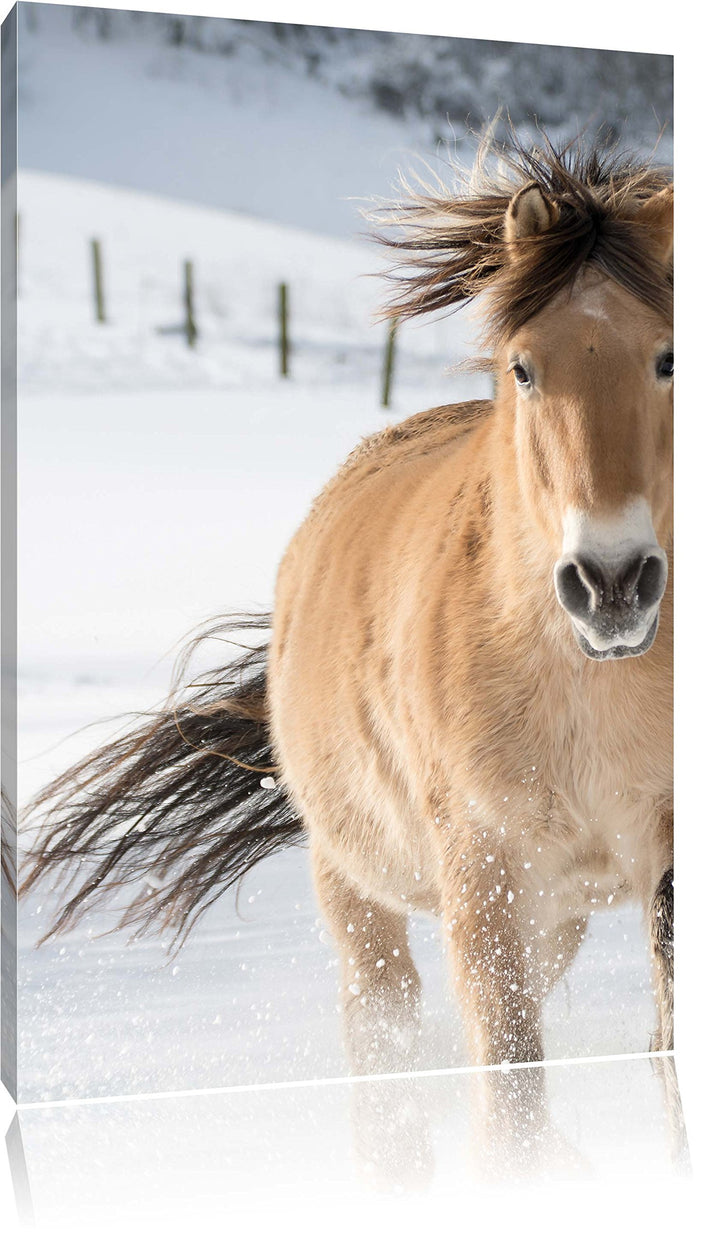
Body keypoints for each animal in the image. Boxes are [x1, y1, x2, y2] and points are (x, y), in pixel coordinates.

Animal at [22, 133, 673, 1092]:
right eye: (523, 366)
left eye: (671, 359)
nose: (613, 583)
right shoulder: (485, 880)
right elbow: (512, 1086)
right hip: (360, 889)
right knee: (386, 1033)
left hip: (555, 912)